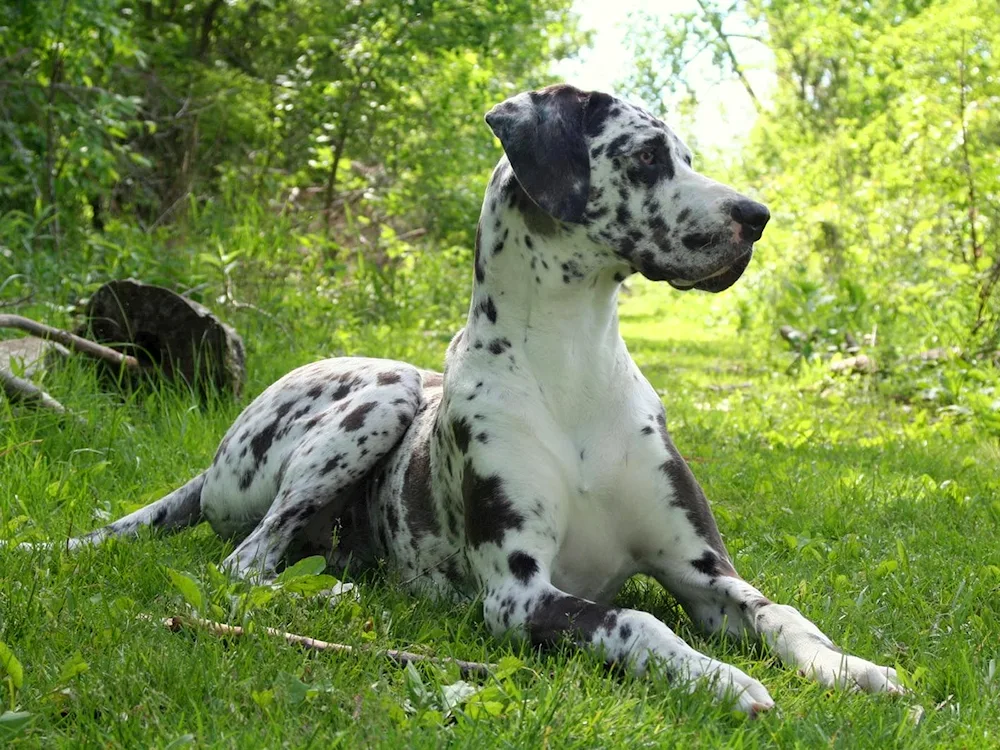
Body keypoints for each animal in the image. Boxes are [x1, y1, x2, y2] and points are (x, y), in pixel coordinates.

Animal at [23, 85, 904, 712]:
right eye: (649, 155)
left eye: (687, 154)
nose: (757, 216)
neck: (571, 363)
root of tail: (209, 467)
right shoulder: (519, 595)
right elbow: (636, 621)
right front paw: (719, 680)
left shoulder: (703, 573)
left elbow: (782, 614)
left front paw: (848, 666)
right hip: (380, 394)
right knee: (244, 563)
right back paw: (329, 595)